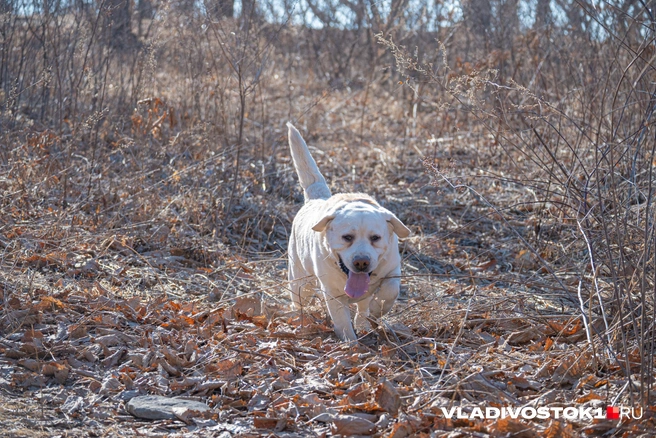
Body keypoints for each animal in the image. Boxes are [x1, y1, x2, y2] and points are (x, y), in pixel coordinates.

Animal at [284, 123, 408, 342]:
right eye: (347, 238)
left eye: (375, 238)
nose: (361, 262)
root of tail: (316, 199)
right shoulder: (332, 293)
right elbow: (342, 321)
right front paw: (351, 343)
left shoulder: (393, 268)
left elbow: (390, 291)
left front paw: (376, 310)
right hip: (300, 281)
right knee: (299, 301)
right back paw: (300, 320)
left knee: (363, 306)